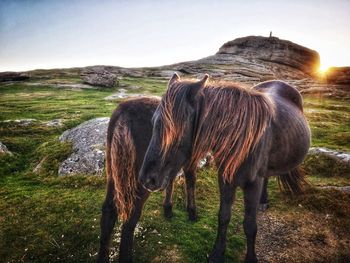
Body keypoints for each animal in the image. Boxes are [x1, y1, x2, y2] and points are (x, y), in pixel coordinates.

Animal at [138, 75, 310, 263]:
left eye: (175, 129)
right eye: (153, 122)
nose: (147, 179)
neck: (241, 138)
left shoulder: (252, 184)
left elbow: (250, 225)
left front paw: (250, 257)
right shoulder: (225, 180)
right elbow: (223, 216)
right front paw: (217, 252)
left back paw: (263, 200)